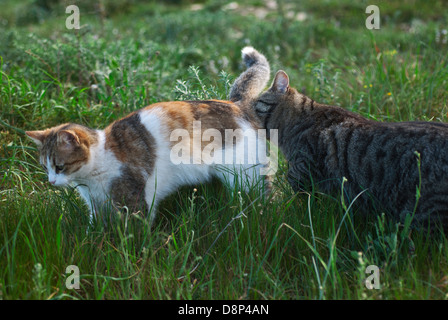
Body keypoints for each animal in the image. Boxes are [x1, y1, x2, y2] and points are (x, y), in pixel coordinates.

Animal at [27, 46, 270, 224]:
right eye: (45, 167)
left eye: (60, 166)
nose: (51, 181)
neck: (99, 160)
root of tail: (236, 104)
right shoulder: (95, 205)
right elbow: (93, 227)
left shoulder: (134, 199)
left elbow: (135, 233)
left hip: (245, 176)